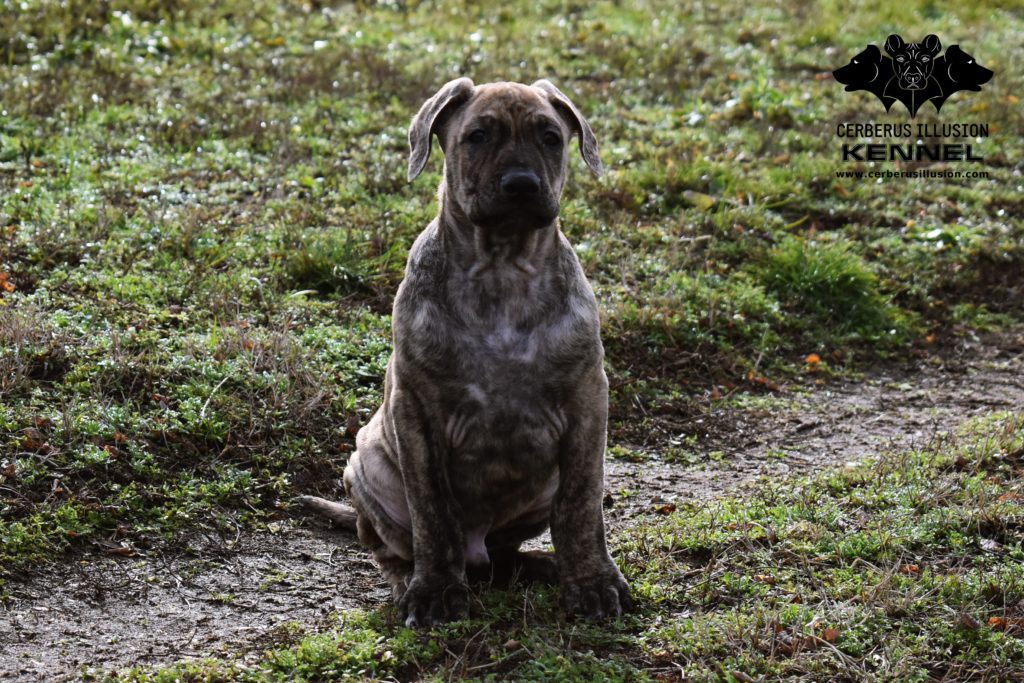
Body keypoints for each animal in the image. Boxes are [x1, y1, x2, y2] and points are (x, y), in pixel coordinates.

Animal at [299, 77, 626, 626]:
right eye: (477, 136)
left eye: (551, 137)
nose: (521, 184)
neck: (503, 267)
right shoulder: (417, 410)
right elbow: (433, 512)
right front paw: (434, 591)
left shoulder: (586, 401)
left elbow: (581, 505)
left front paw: (592, 582)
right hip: (365, 465)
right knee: (395, 549)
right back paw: (410, 581)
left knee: (505, 554)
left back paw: (541, 566)